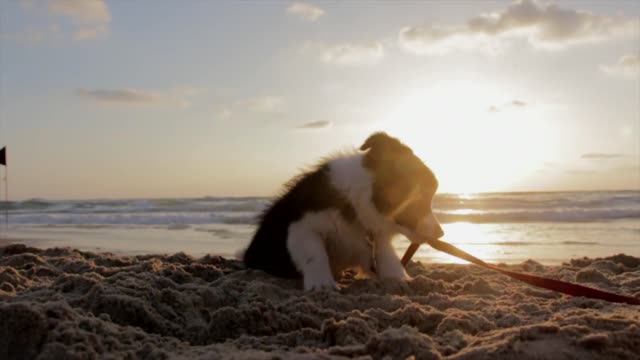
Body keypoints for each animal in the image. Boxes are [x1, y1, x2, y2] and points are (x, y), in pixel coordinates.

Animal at [242, 132, 442, 290]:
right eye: (421, 197)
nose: (440, 233)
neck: (354, 201)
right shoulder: (301, 226)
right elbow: (315, 253)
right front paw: (322, 284)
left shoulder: (374, 238)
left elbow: (385, 253)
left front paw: (396, 277)